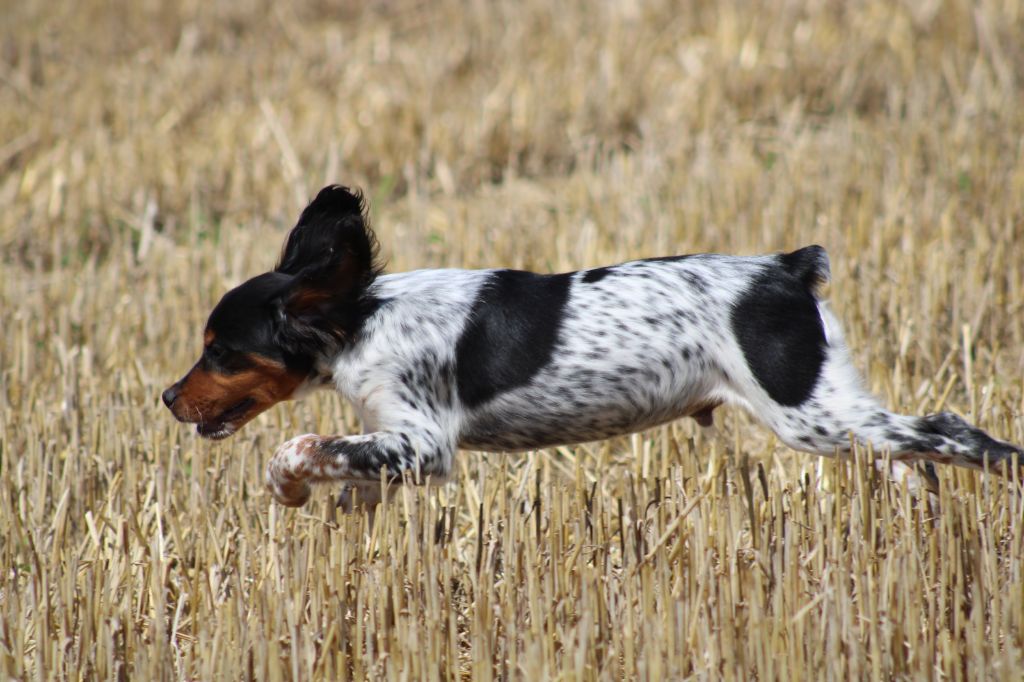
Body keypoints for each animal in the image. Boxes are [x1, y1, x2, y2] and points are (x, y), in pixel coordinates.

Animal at [163, 186, 1019, 503]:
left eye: (220, 349)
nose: (169, 396)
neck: (361, 317)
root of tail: (784, 269)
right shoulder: (393, 443)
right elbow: (343, 462)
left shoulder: (424, 441)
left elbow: (301, 445)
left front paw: (289, 486)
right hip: (830, 410)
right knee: (908, 454)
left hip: (805, 408)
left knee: (949, 432)